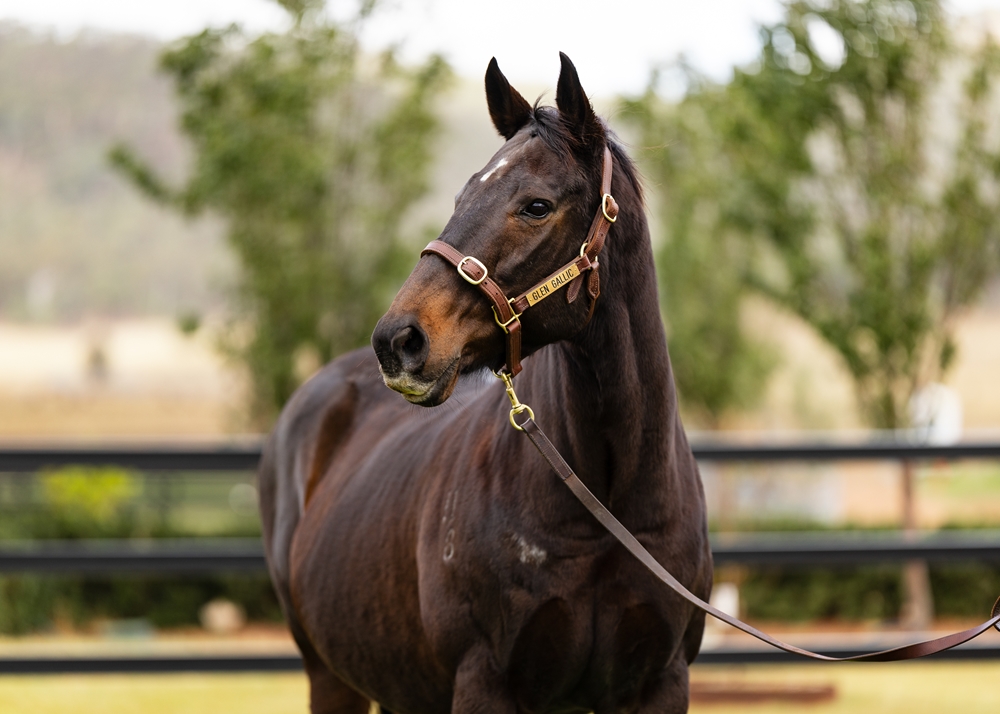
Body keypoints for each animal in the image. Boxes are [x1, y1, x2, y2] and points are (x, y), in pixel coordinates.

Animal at [259, 53, 713, 714]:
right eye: (462, 194)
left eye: (536, 206)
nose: (398, 340)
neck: (607, 506)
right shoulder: (483, 682)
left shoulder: (661, 682)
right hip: (330, 677)